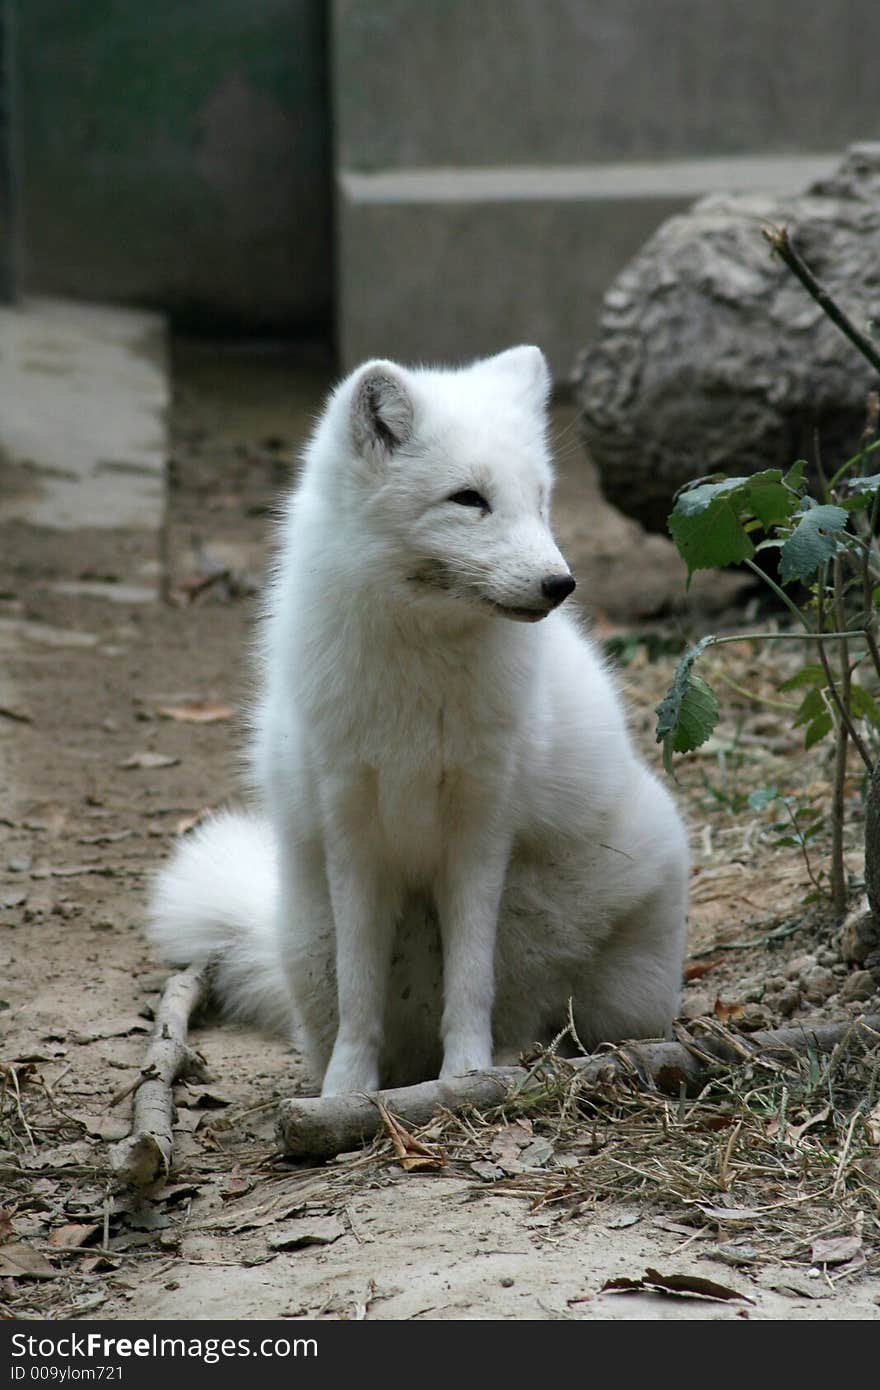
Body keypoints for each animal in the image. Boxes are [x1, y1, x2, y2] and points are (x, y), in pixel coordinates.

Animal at [149, 344, 686, 1095]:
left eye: (540, 501)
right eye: (470, 499)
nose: (561, 585)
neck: (419, 680)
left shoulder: (480, 831)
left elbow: (471, 979)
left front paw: (465, 1076)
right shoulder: (353, 836)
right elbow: (360, 990)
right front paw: (347, 1092)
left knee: (536, 1010)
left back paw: (521, 1056)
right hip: (307, 939)